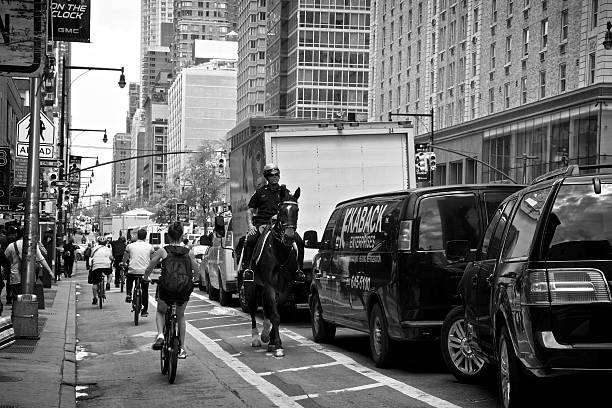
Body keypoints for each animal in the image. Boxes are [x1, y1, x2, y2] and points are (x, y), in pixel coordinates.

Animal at [244, 188, 302, 356]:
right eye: (281, 210)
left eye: (296, 210)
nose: (289, 236)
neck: (279, 251)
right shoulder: (269, 284)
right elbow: (274, 314)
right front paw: (277, 345)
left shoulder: (286, 286)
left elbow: (275, 310)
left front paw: (271, 341)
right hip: (251, 286)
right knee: (252, 310)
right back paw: (256, 338)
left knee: (266, 307)